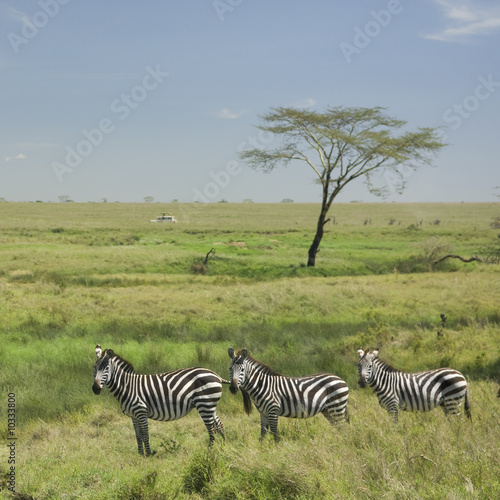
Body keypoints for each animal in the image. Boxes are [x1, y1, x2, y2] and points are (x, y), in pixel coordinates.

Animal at [92, 346, 227, 456]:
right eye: (94, 368)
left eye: (106, 368)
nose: (95, 389)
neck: (127, 387)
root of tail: (216, 375)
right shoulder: (133, 416)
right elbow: (138, 436)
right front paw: (140, 454)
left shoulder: (141, 412)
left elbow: (145, 434)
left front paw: (149, 454)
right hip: (210, 405)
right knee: (219, 425)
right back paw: (223, 447)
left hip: (204, 404)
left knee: (211, 429)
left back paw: (209, 452)